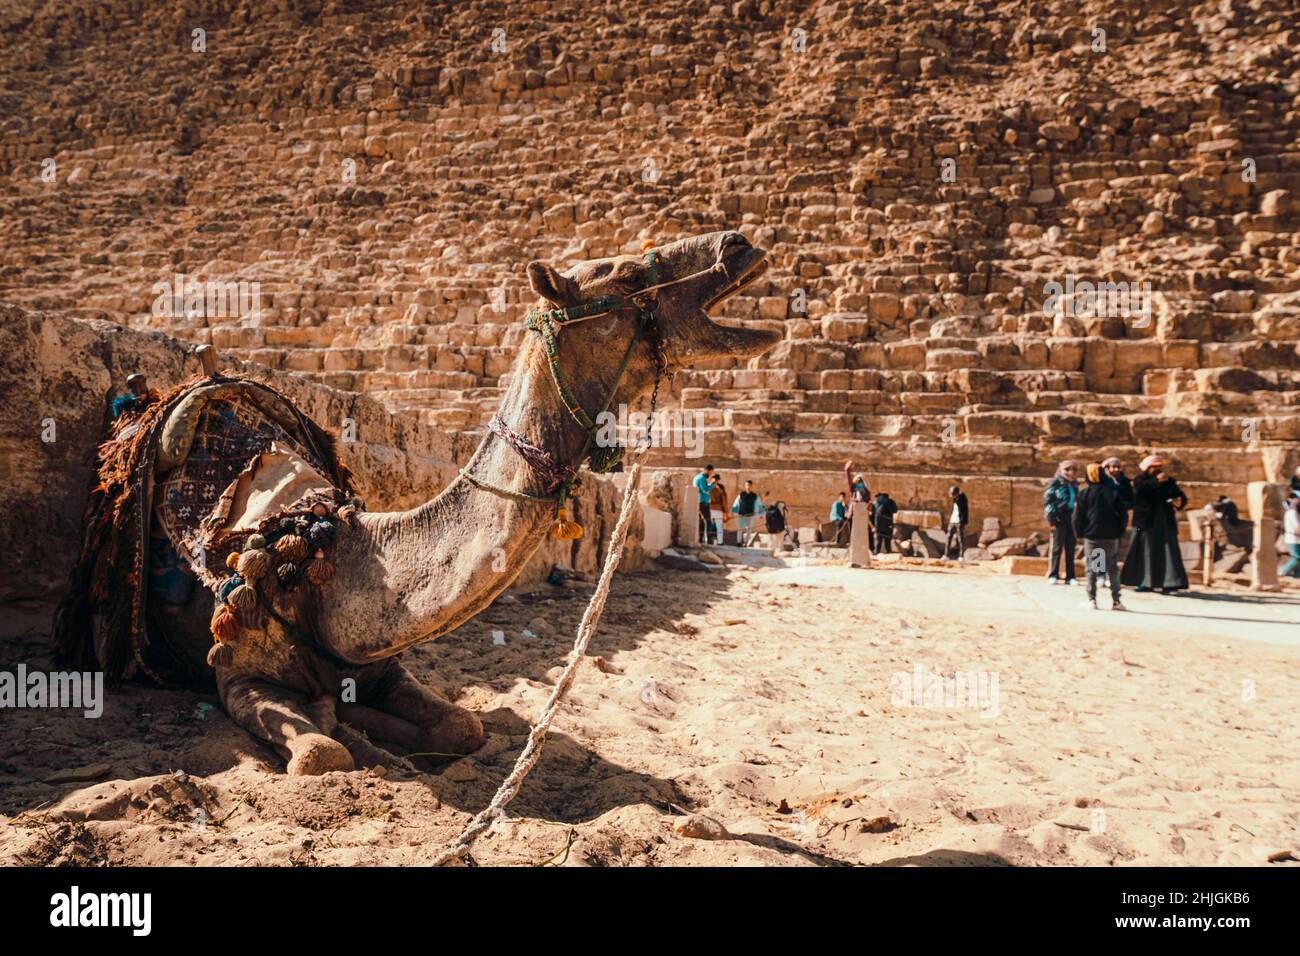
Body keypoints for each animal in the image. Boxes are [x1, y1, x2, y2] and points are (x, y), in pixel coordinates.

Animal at [153, 230, 777, 774]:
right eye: (624, 274)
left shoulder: (379, 664)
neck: (318, 555)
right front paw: (349, 734)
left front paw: (372, 734)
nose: (738, 243)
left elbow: (464, 727)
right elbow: (321, 753)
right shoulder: (237, 673)